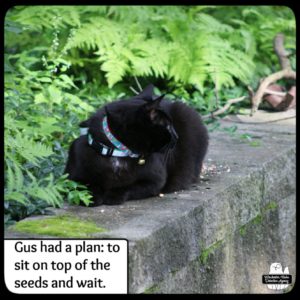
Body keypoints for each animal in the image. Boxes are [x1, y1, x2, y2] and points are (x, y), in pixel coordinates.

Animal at [64, 85, 207, 205]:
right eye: (168, 126)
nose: (177, 136)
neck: (118, 153)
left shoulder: (155, 181)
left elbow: (130, 186)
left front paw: (113, 196)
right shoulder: (72, 176)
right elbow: (83, 186)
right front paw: (91, 197)